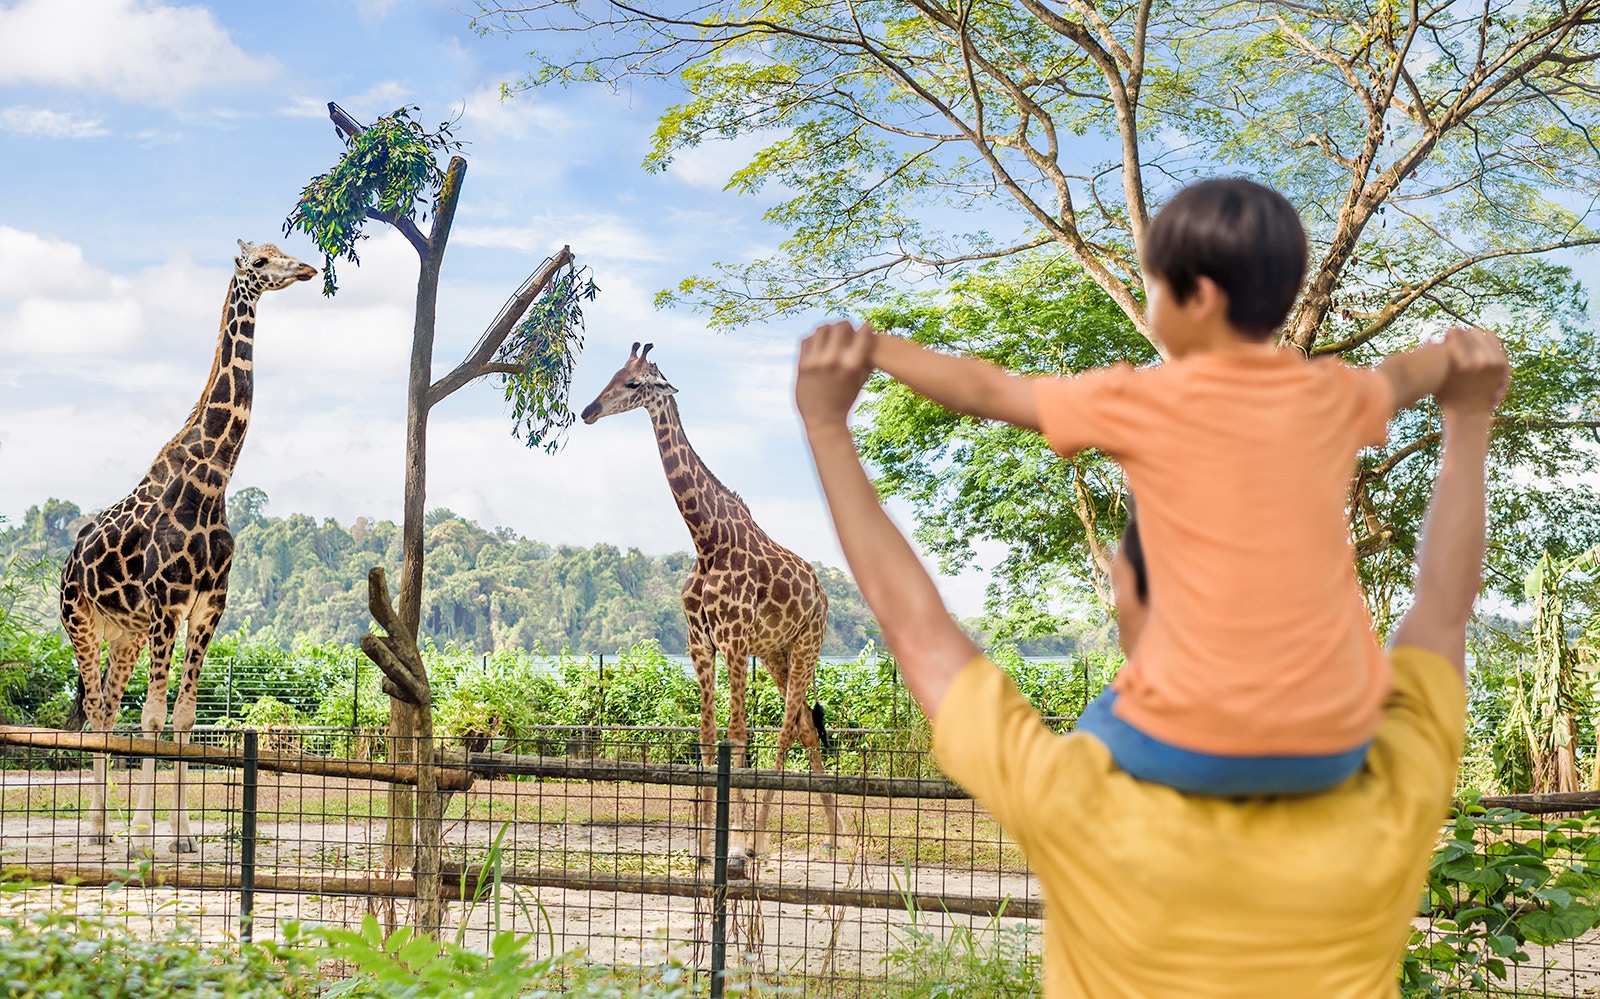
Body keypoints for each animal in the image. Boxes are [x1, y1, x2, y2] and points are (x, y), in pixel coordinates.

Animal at [60, 240, 316, 855]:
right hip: (80, 622)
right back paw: (99, 828)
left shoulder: (207, 608)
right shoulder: (168, 604)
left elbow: (183, 716)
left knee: (107, 709)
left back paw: (104, 825)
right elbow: (153, 716)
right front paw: (144, 833)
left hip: (125, 634)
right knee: (98, 711)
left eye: (282, 250)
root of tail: (68, 561)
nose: (306, 268)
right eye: (261, 261)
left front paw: (180, 835)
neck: (213, 482)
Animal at [581, 342, 840, 872]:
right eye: (612, 373)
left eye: (634, 383)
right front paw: (702, 848)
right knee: (806, 726)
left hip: (808, 645)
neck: (706, 540)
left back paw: (761, 840)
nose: (588, 411)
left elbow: (737, 737)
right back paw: (833, 836)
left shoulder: (734, 639)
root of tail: (823, 595)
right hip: (778, 653)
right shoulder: (699, 642)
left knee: (786, 730)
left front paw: (735, 846)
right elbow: (705, 738)